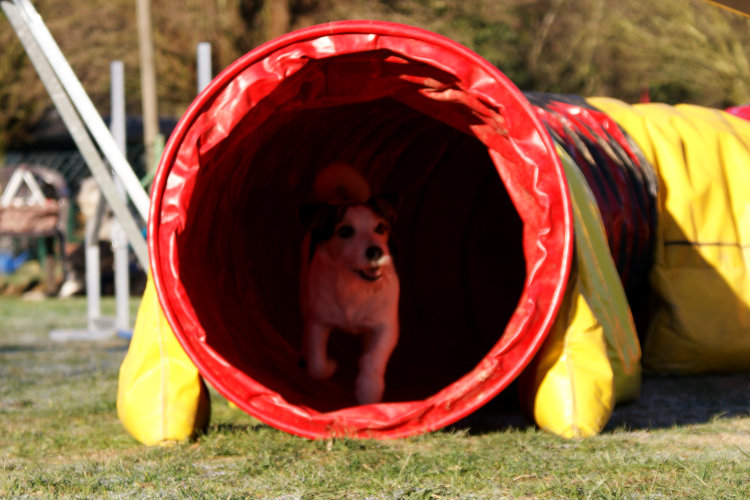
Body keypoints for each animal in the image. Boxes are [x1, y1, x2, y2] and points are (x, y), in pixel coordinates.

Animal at [302, 164, 402, 406]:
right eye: (345, 231)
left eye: (381, 228)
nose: (376, 251)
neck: (353, 284)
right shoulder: (317, 322)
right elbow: (316, 365)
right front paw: (330, 367)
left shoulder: (385, 326)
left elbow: (373, 360)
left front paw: (369, 393)